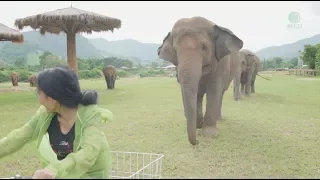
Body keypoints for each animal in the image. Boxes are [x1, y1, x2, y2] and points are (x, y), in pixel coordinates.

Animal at [157, 16, 242, 146]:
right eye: (175, 50)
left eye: (204, 47)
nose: (196, 142)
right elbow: (193, 91)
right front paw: (198, 126)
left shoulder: (221, 62)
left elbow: (214, 89)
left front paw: (210, 134)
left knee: (221, 92)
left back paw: (218, 119)